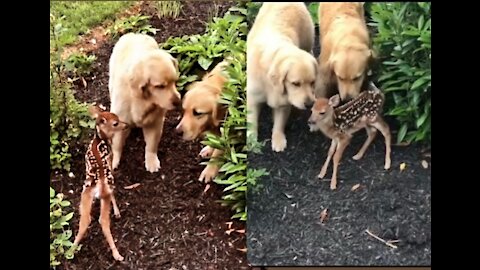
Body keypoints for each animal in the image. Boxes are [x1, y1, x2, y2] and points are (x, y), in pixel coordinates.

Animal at [72, 106, 128, 262]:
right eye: (115, 123)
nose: (126, 125)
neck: (100, 139)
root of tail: (99, 184)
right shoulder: (110, 162)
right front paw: (117, 212)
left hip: (85, 194)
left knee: (85, 220)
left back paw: (71, 250)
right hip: (104, 193)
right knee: (103, 220)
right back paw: (117, 254)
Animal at [108, 33, 181, 173]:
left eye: (175, 81)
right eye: (160, 86)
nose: (178, 102)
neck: (142, 100)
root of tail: (134, 34)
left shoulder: (154, 122)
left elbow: (151, 144)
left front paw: (151, 161)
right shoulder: (120, 119)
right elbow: (117, 143)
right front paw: (115, 160)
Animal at [248, 2, 318, 152]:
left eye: (312, 83)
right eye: (296, 83)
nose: (310, 104)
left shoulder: (284, 102)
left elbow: (279, 123)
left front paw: (278, 140)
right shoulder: (253, 97)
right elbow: (251, 121)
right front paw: (251, 141)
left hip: (307, 38)